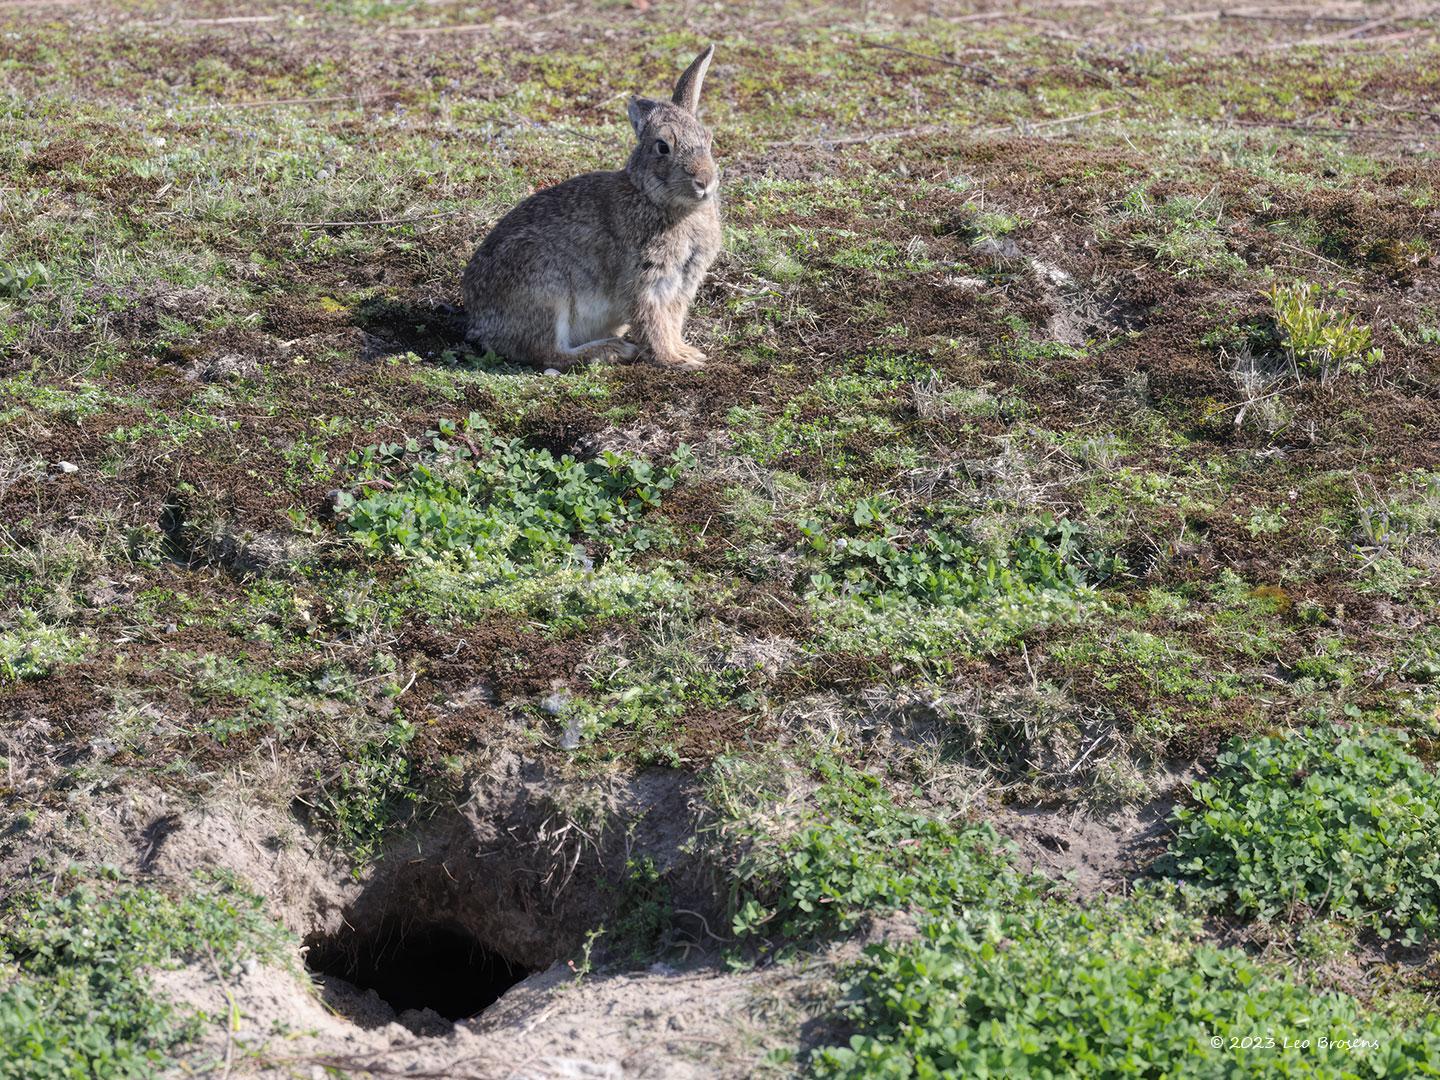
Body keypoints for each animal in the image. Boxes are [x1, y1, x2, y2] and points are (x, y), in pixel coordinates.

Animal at [463, 45, 720, 371]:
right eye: (663, 147)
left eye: (708, 139)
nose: (704, 181)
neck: (661, 201)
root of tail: (479, 323)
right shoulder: (646, 280)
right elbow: (653, 322)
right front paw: (674, 359)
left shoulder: (683, 284)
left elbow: (671, 321)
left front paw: (687, 352)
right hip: (545, 288)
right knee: (547, 352)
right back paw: (611, 350)